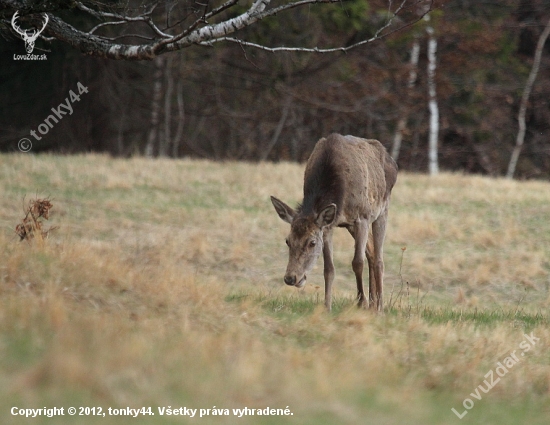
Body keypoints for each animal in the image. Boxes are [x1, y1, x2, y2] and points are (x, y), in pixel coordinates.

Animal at [270, 133, 396, 312]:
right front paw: (327, 307)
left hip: (382, 210)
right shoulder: (328, 226)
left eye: (312, 243)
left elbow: (357, 262)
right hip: (352, 225)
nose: (290, 278)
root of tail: (391, 160)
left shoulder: (362, 217)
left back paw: (379, 307)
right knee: (371, 250)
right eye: (288, 240)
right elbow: (328, 268)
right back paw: (373, 304)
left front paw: (361, 302)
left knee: (379, 258)